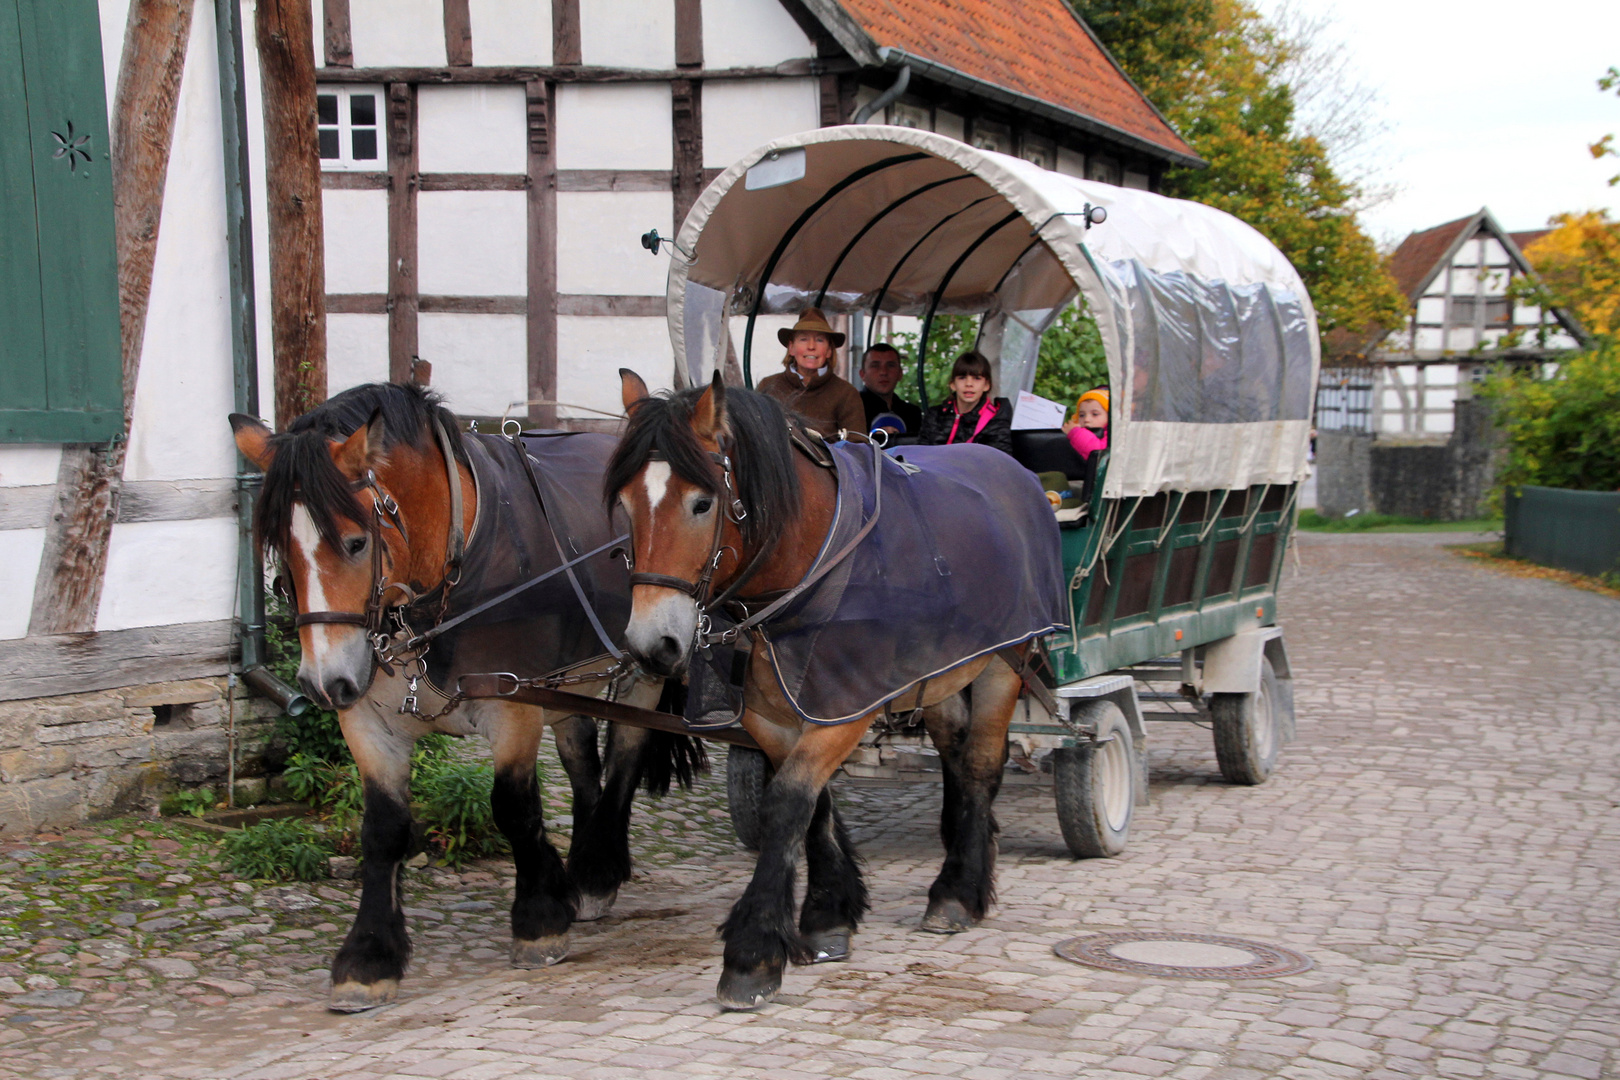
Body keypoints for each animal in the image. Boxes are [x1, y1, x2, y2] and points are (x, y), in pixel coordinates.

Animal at [230, 383, 703, 1016]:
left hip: (646, 660)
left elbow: (513, 807)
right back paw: (581, 871)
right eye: (280, 547)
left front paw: (539, 920)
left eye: (355, 542)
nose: (322, 683)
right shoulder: (369, 720)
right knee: (582, 761)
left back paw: (598, 870)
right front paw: (368, 957)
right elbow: (382, 830)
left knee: (627, 751)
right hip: (569, 680)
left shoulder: (512, 703)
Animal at [605, 374, 1036, 1016]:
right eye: (628, 503)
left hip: (1004, 664)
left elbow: (787, 801)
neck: (805, 564)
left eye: (702, 503)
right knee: (956, 758)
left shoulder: (845, 706)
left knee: (982, 764)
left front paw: (753, 953)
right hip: (941, 674)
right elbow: (812, 804)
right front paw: (829, 913)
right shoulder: (778, 714)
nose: (650, 643)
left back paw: (957, 891)